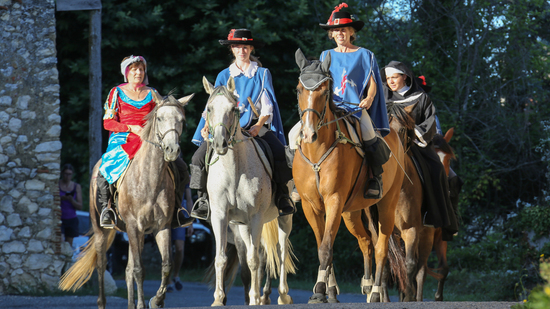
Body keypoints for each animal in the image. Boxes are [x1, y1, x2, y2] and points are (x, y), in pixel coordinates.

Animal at [58, 92, 195, 308]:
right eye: (159, 118)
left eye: (182, 120)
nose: (172, 150)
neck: (149, 179)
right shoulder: (133, 226)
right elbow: (139, 270)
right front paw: (145, 302)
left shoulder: (161, 227)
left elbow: (165, 266)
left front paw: (156, 300)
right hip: (102, 231)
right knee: (101, 265)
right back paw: (102, 302)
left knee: (128, 269)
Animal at [203, 76, 298, 304]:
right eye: (209, 108)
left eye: (233, 109)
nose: (220, 143)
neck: (234, 171)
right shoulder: (221, 217)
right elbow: (222, 258)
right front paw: (218, 299)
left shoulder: (256, 217)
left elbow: (255, 260)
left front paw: (255, 298)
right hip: (242, 226)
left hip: (283, 218)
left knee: (280, 251)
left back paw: (282, 295)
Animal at [296, 49, 408, 302]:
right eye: (299, 89)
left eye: (324, 90)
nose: (308, 133)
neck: (317, 151)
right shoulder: (311, 206)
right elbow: (323, 245)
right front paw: (326, 291)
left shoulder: (334, 200)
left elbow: (326, 247)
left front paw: (320, 289)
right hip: (353, 211)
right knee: (366, 241)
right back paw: (367, 285)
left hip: (386, 205)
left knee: (381, 247)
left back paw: (376, 292)